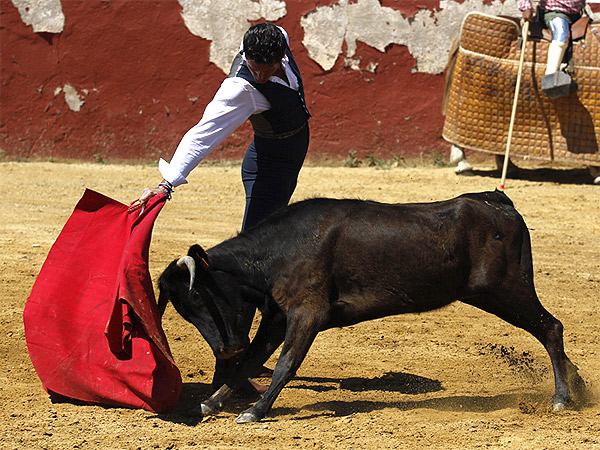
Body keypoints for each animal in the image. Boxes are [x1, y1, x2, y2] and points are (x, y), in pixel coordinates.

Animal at [157, 190, 584, 422]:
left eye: (198, 295)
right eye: (184, 309)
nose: (226, 346)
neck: (277, 250)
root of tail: (498, 202)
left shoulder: (307, 313)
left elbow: (285, 364)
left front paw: (255, 410)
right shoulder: (278, 316)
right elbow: (252, 360)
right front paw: (211, 402)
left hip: (507, 289)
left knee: (551, 327)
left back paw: (562, 398)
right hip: (490, 295)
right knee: (548, 329)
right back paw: (578, 385)